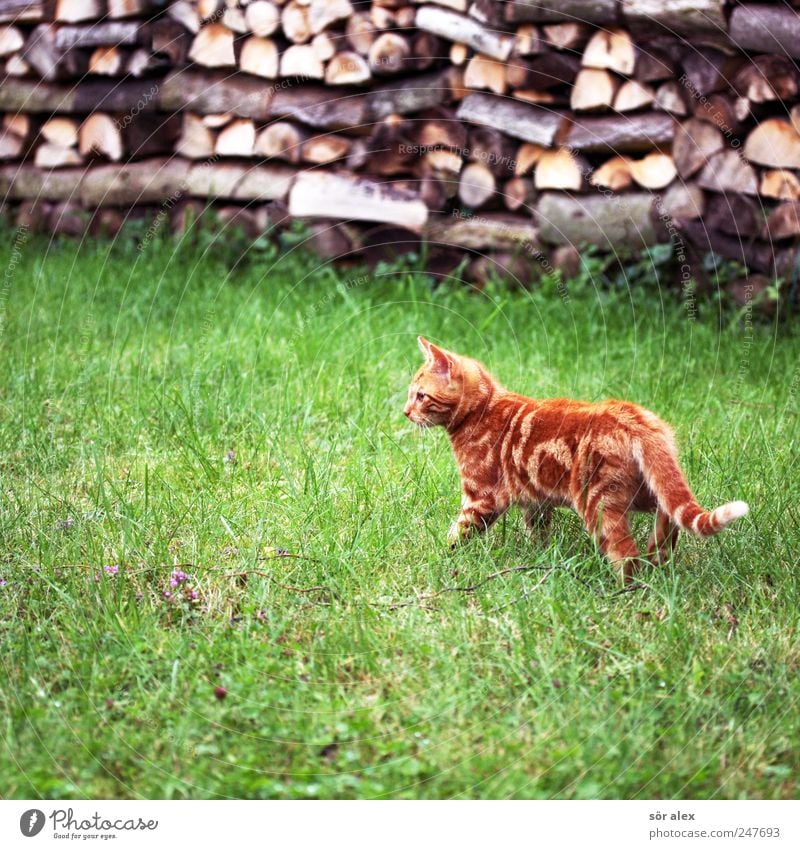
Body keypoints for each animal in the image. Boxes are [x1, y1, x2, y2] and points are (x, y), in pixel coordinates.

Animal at [406, 338, 752, 584]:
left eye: (420, 396)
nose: (405, 412)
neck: (482, 409)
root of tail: (634, 416)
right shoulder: (536, 502)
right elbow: (538, 532)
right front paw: (539, 556)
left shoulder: (480, 498)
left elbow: (458, 533)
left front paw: (442, 557)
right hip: (643, 491)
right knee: (670, 517)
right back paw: (658, 561)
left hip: (597, 504)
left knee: (626, 554)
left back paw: (625, 590)